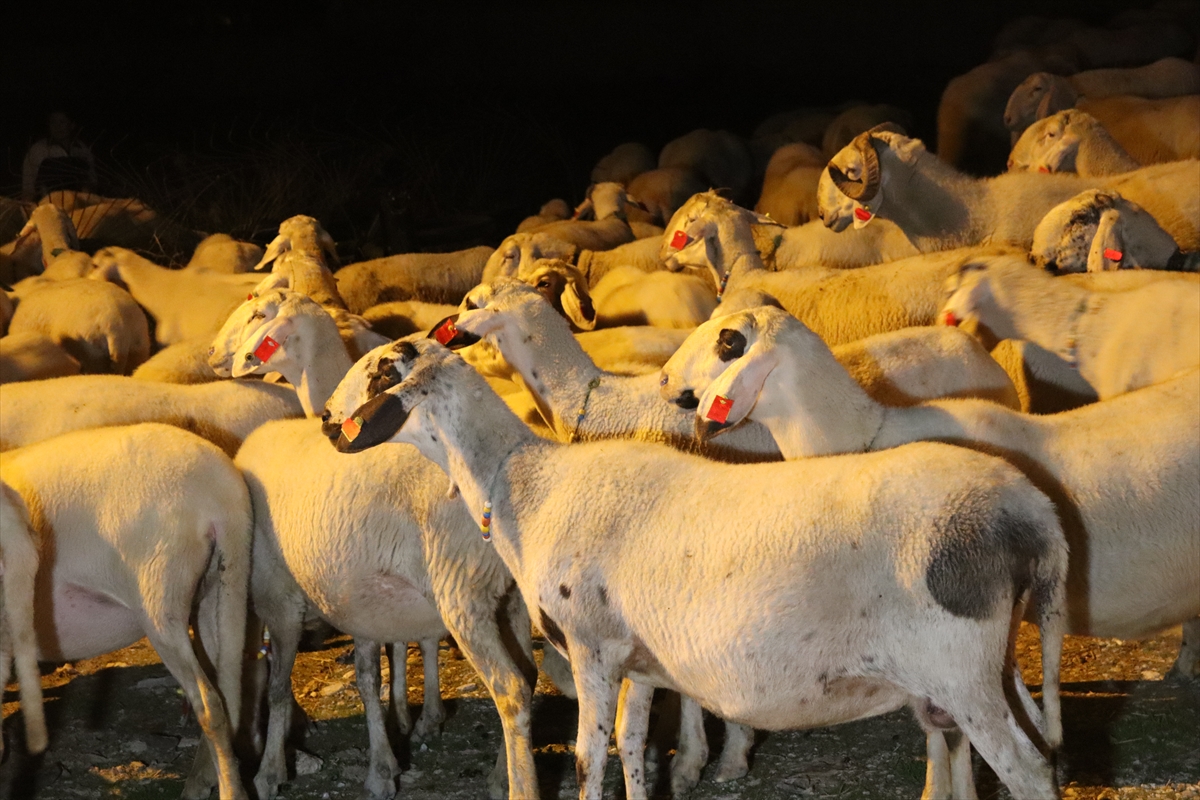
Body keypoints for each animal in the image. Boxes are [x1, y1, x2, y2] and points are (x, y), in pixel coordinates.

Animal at [0, 422, 253, 796]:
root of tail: (224, 494)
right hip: (220, 589)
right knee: (228, 692)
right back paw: (204, 781)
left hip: (159, 595)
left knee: (209, 703)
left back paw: (227, 791)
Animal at [333, 338, 1065, 800]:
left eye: (375, 372)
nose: (327, 425)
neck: (527, 486)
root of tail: (1027, 508)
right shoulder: (636, 661)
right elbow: (630, 747)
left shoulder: (590, 647)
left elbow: (587, 759)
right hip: (994, 668)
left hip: (960, 671)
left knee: (1029, 771)